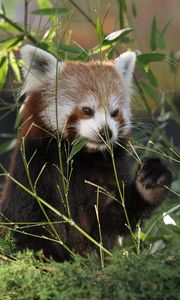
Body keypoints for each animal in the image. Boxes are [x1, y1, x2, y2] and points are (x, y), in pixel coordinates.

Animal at [0, 44, 172, 260]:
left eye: (114, 113)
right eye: (87, 110)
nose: (106, 132)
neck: (80, 156)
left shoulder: (107, 170)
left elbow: (109, 220)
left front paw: (150, 183)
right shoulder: (34, 165)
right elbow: (29, 221)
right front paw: (49, 256)